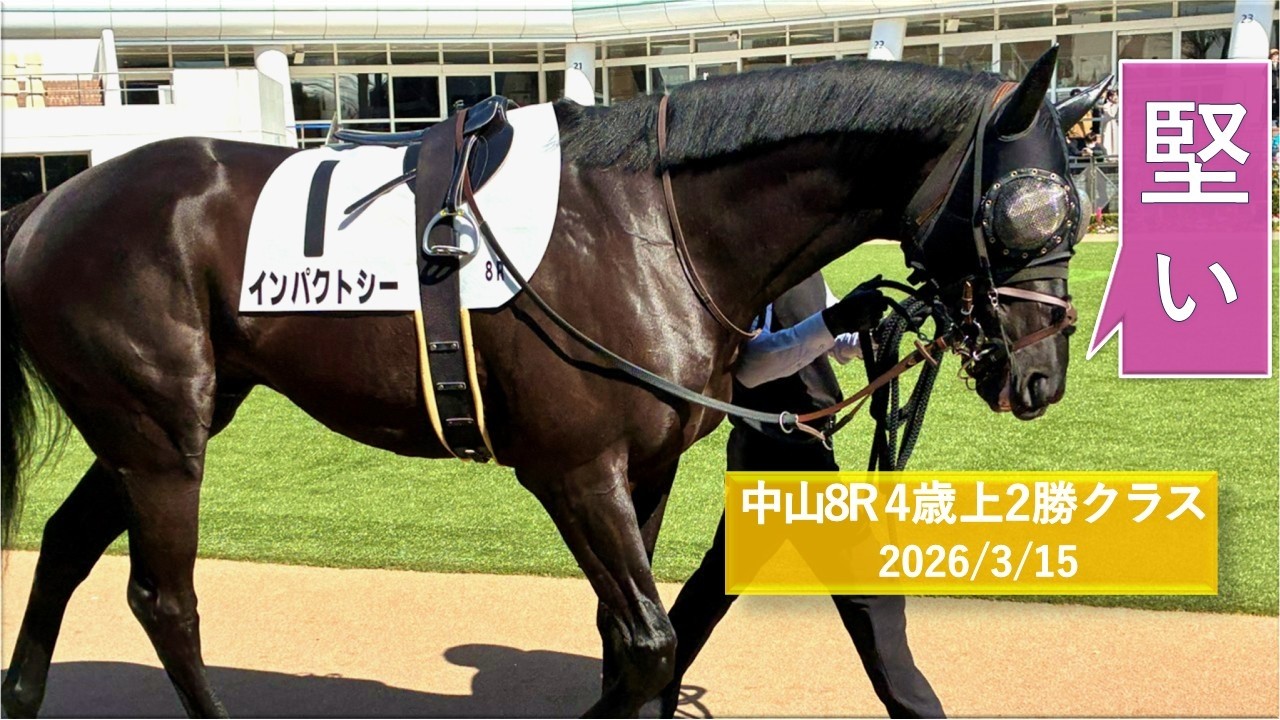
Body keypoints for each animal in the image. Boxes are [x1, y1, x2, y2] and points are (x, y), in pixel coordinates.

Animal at [1, 47, 1094, 717]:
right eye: (1028, 209)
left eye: (1076, 205)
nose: (1040, 373)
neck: (648, 224)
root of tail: (44, 206)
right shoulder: (571, 469)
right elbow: (648, 642)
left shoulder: (644, 466)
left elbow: (630, 635)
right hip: (159, 434)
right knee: (163, 597)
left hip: (159, 424)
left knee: (64, 544)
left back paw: (21, 693)